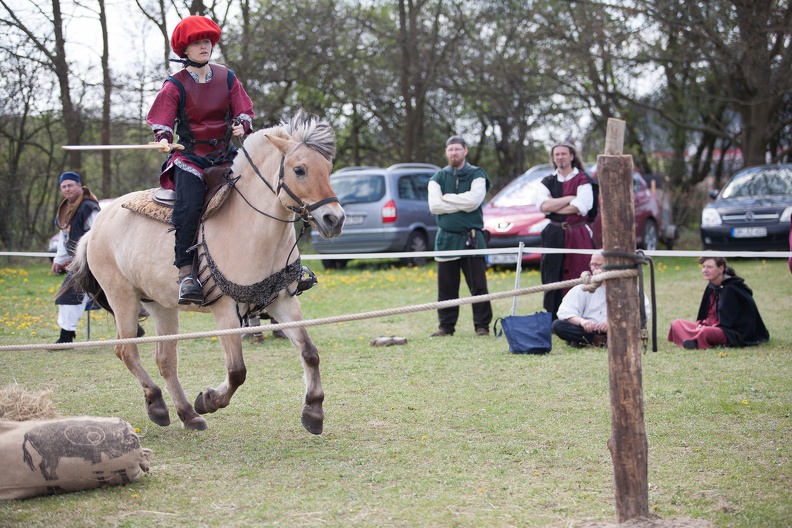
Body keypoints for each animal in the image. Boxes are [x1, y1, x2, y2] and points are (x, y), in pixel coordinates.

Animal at [65, 110, 344, 434]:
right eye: (299, 170)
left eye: (328, 168)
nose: (334, 219)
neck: (252, 226)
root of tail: (96, 225)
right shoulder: (226, 310)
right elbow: (237, 371)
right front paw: (209, 400)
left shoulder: (281, 301)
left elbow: (310, 352)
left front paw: (313, 410)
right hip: (122, 296)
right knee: (127, 351)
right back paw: (158, 404)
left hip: (160, 304)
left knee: (165, 360)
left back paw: (187, 413)